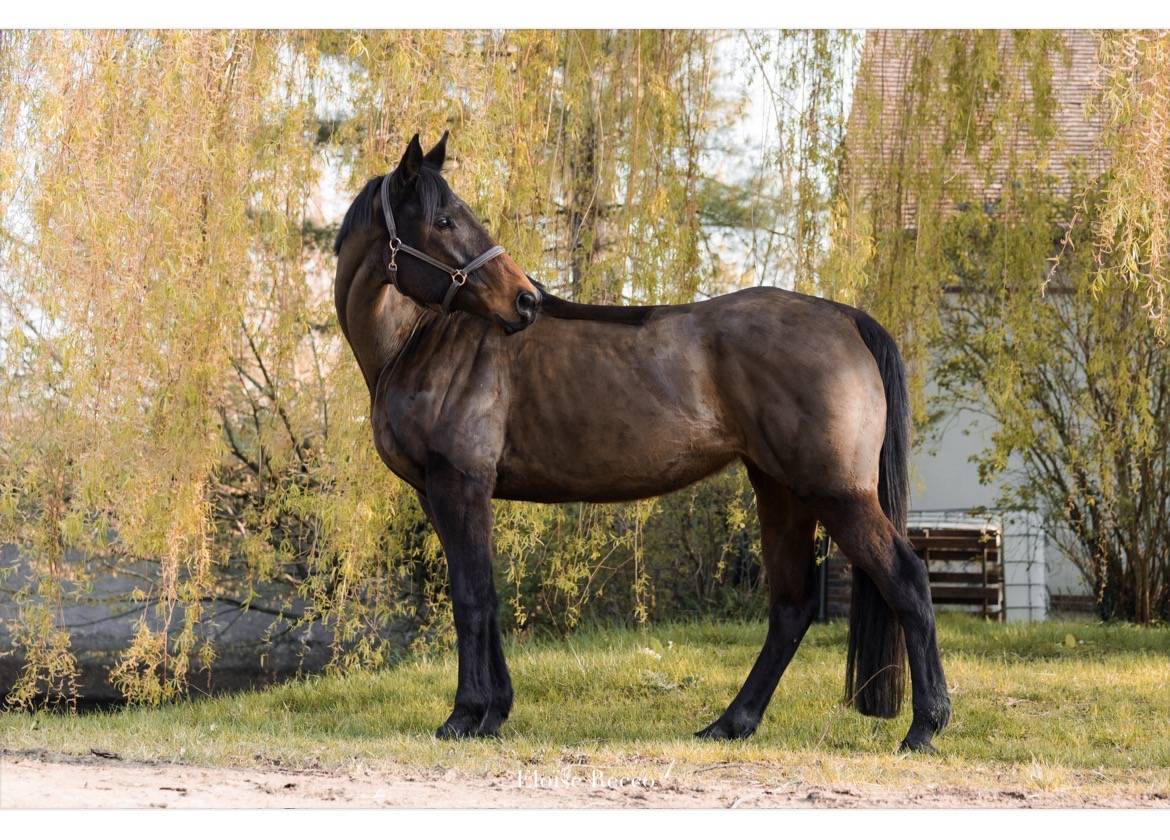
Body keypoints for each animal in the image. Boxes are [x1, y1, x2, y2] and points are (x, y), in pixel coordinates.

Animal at [333, 132, 951, 752]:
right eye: (443, 220)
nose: (525, 301)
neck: (418, 342)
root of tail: (845, 317)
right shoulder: (443, 492)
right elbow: (486, 592)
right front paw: (494, 711)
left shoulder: (459, 485)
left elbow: (470, 596)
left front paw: (465, 715)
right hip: (782, 492)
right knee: (792, 606)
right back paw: (731, 722)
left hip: (837, 494)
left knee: (906, 581)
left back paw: (924, 726)